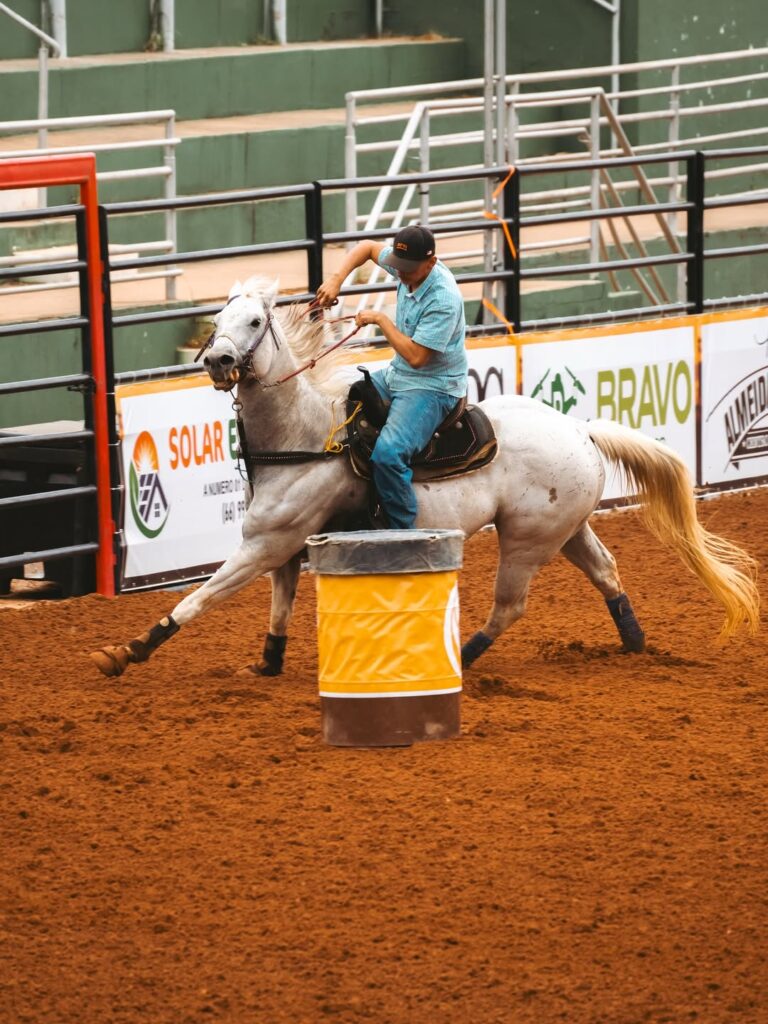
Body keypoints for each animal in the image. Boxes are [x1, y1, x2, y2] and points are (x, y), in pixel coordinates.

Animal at [90, 276, 760, 679]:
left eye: (256, 322)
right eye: (221, 317)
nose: (218, 360)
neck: (302, 437)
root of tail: (581, 429)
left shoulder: (263, 547)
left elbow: (198, 598)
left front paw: (125, 652)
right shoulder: (282, 553)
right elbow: (278, 613)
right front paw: (269, 664)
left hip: (526, 542)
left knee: (510, 607)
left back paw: (462, 657)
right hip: (564, 529)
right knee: (608, 572)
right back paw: (635, 642)